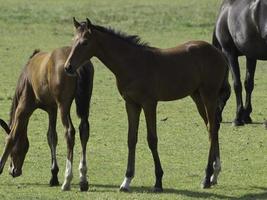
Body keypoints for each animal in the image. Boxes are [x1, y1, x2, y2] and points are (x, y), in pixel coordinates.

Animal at [0, 46, 94, 191]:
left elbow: (12, 137)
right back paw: (83, 180)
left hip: (63, 105)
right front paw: (54, 176)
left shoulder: (24, 108)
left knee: (69, 132)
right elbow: (52, 137)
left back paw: (67, 179)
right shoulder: (52, 109)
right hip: (83, 104)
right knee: (84, 130)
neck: (26, 76)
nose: (15, 171)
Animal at [64, 18, 230, 191]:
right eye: (73, 40)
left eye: (84, 42)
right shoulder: (131, 104)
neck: (132, 64)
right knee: (213, 127)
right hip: (197, 96)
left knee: (212, 129)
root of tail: (219, 54)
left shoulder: (149, 103)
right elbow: (131, 139)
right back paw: (214, 174)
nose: (68, 67)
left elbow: (152, 139)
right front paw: (126, 180)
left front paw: (158, 181)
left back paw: (206, 177)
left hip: (209, 95)